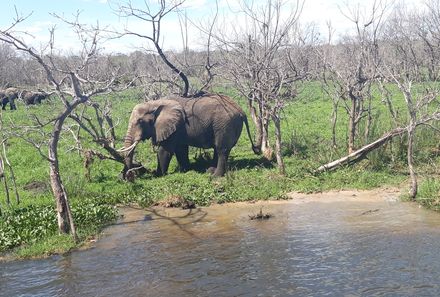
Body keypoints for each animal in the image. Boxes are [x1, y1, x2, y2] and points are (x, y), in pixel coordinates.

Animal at [120, 93, 260, 179]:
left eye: (140, 121)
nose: (128, 176)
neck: (154, 104)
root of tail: (240, 110)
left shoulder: (174, 126)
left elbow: (164, 151)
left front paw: (158, 175)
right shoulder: (177, 129)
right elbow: (181, 149)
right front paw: (185, 171)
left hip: (224, 123)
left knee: (221, 149)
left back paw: (215, 176)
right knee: (218, 148)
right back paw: (210, 170)